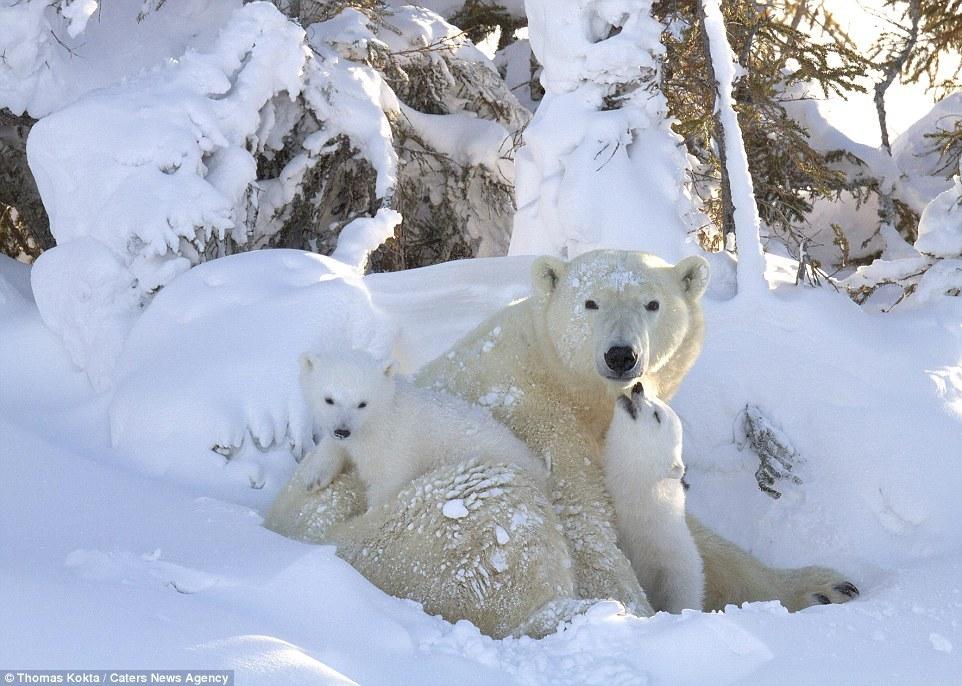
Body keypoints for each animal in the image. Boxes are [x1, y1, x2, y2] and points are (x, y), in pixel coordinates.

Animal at [296, 352, 544, 508]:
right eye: (329, 399)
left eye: (362, 403)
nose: (342, 430)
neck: (379, 419)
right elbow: (332, 447)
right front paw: (314, 479)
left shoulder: (395, 446)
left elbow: (386, 484)